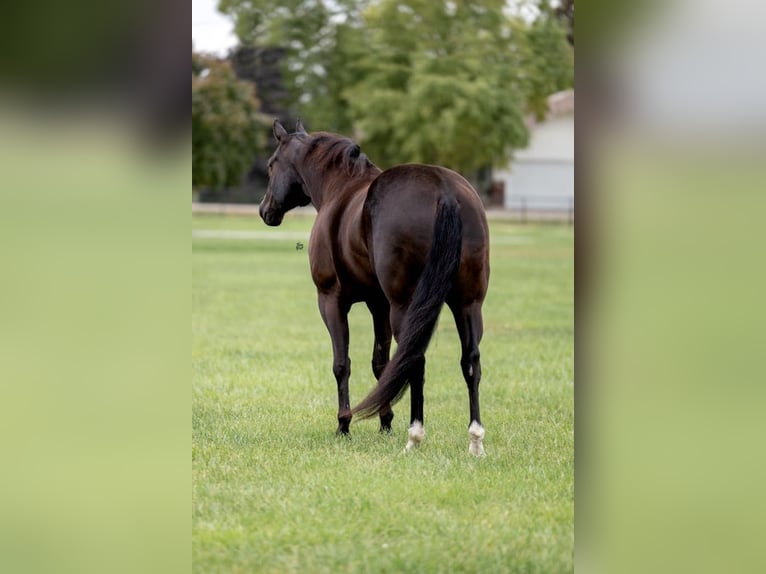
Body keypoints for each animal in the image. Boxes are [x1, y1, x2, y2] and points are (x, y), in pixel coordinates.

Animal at [260, 120, 490, 455]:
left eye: (270, 165)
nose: (265, 210)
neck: (340, 188)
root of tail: (444, 191)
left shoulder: (331, 300)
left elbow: (342, 364)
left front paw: (344, 424)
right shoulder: (378, 305)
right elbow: (381, 363)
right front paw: (385, 422)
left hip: (406, 307)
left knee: (414, 359)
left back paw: (414, 437)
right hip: (467, 304)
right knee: (470, 361)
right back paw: (475, 440)